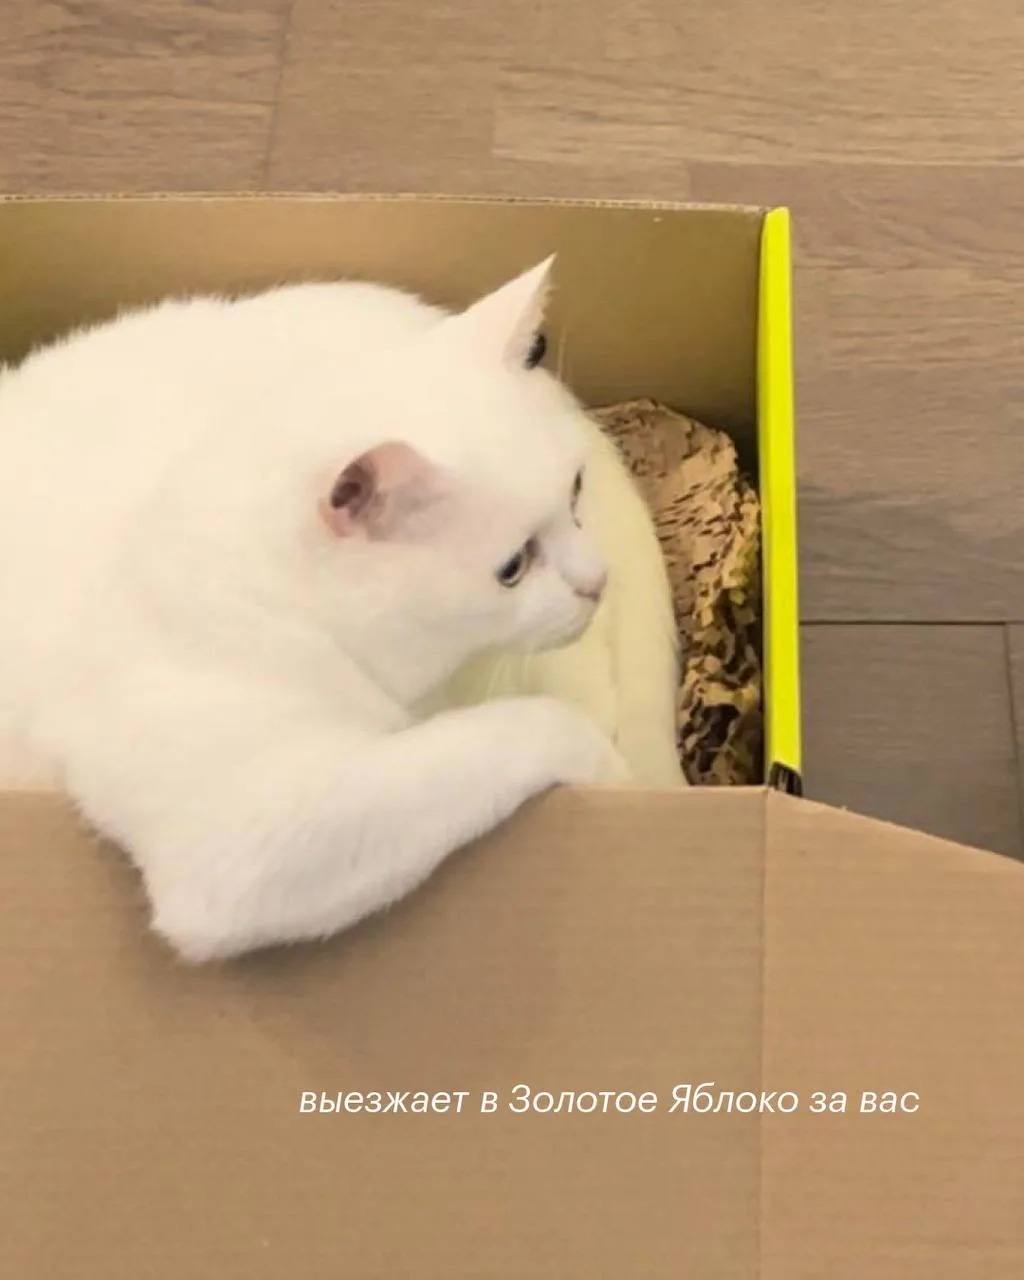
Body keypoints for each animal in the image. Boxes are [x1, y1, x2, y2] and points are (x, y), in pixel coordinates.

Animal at [0, 256, 631, 962]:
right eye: (513, 567)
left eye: (575, 492)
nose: (597, 582)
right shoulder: (242, 839)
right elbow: (492, 738)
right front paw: (600, 761)